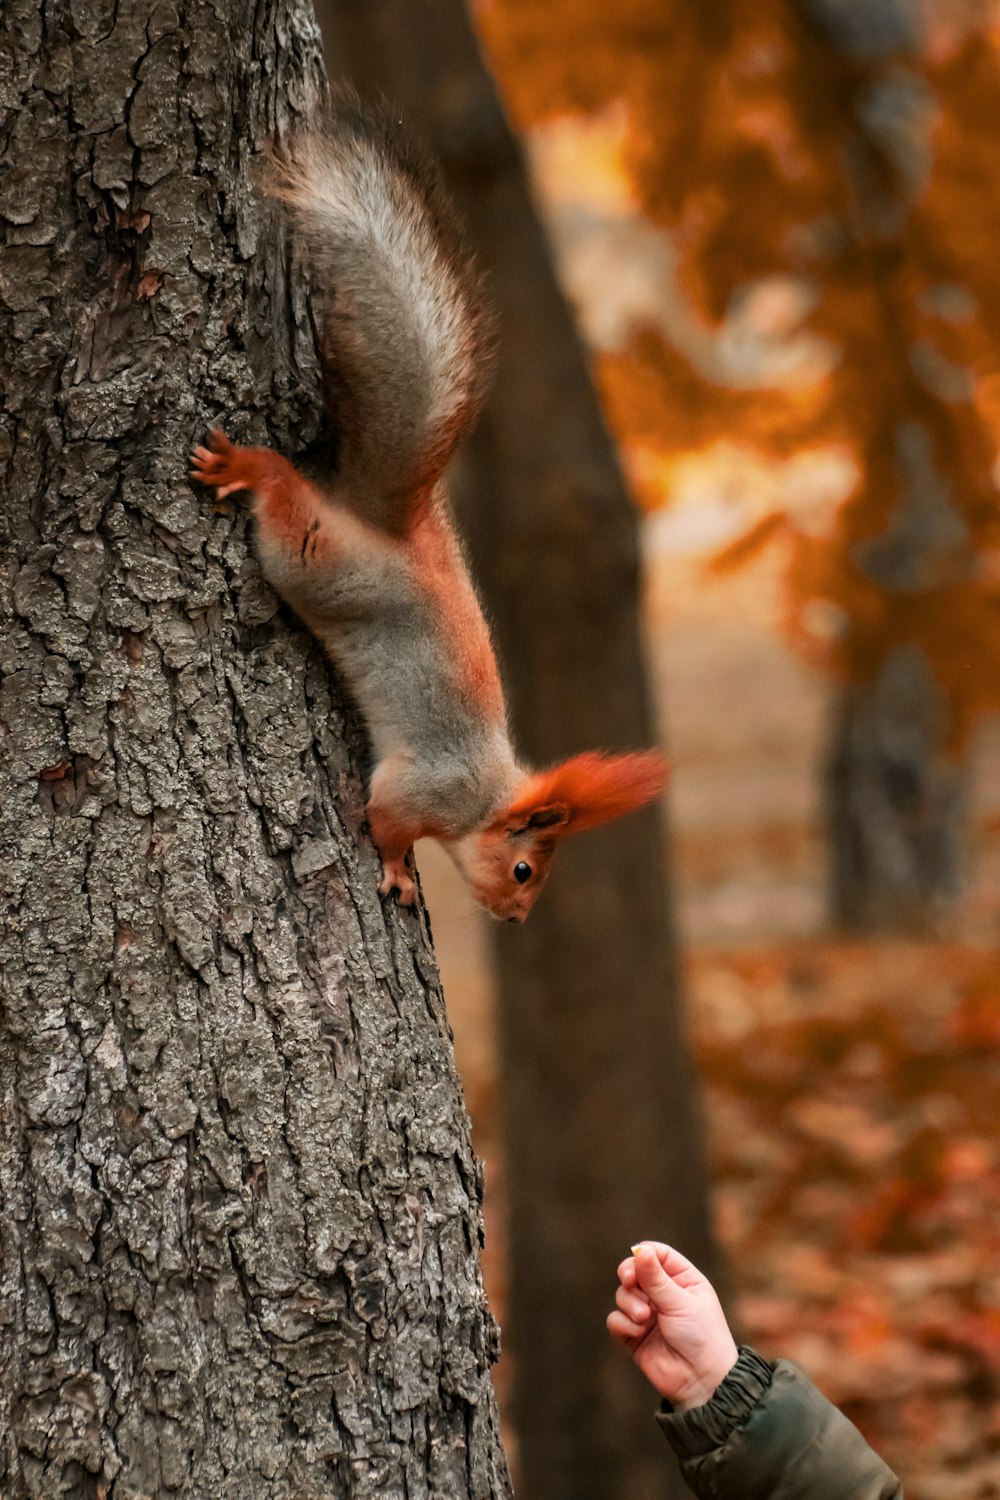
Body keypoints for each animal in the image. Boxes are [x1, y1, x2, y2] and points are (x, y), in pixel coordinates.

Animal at [191, 99, 668, 918]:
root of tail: (391, 532)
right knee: (282, 495)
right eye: (524, 870)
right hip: (317, 563)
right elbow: (386, 822)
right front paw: (397, 874)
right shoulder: (418, 788)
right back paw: (249, 467)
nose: (515, 916)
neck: (484, 797)